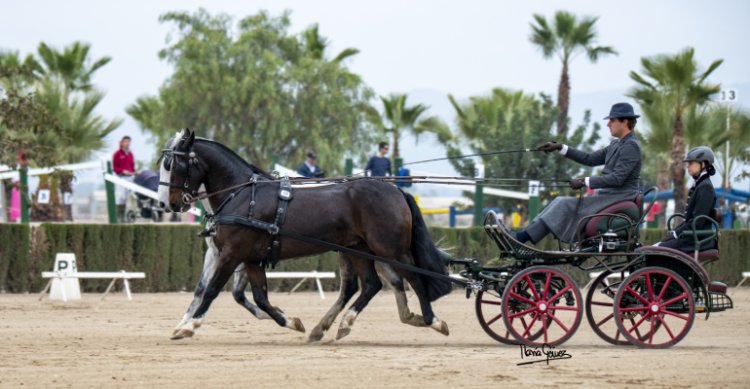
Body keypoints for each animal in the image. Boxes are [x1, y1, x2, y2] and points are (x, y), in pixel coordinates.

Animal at [159, 128, 452, 340]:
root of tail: (396, 190)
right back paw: (341, 324)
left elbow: (211, 290)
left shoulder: (232, 253)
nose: (168, 204)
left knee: (413, 278)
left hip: (390, 249)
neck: (244, 194)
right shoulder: (251, 259)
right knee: (371, 285)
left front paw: (189, 326)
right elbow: (260, 298)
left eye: (175, 164)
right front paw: (291, 321)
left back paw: (433, 320)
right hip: (358, 249)